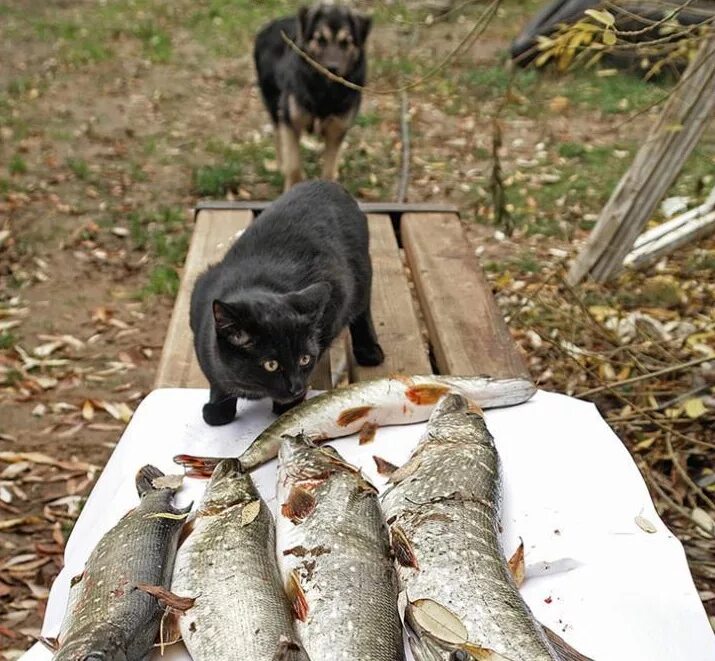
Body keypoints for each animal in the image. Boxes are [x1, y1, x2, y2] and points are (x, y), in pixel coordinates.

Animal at [187, 178, 384, 426]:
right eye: (271, 365)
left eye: (304, 359)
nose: (296, 388)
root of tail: (327, 183)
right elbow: (217, 380)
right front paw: (218, 408)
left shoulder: (336, 297)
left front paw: (288, 407)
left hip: (361, 272)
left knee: (362, 308)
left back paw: (369, 350)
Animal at [255, 4, 372, 191]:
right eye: (320, 40)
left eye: (346, 42)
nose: (332, 69)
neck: (324, 92)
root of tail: (269, 25)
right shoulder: (290, 122)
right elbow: (294, 164)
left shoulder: (337, 129)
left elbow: (329, 167)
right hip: (274, 103)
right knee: (278, 136)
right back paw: (281, 164)